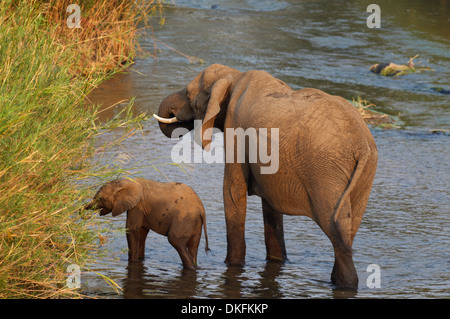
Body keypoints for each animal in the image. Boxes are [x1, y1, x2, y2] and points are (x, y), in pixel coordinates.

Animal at [153, 64, 378, 290]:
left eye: (189, 95)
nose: (173, 115)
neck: (233, 75)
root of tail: (362, 145)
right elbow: (270, 207)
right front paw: (277, 261)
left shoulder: (236, 128)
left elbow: (232, 190)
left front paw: (232, 265)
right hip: (363, 176)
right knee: (349, 229)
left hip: (327, 175)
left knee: (338, 233)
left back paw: (344, 284)